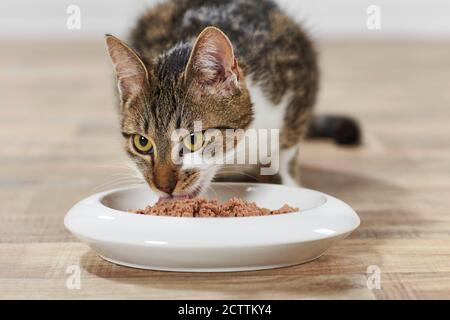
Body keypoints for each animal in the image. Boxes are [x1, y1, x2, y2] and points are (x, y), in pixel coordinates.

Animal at [104, 0, 358, 199]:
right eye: (142, 142)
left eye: (193, 139)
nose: (163, 187)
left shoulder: (298, 79)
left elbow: (287, 152)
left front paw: (289, 181)